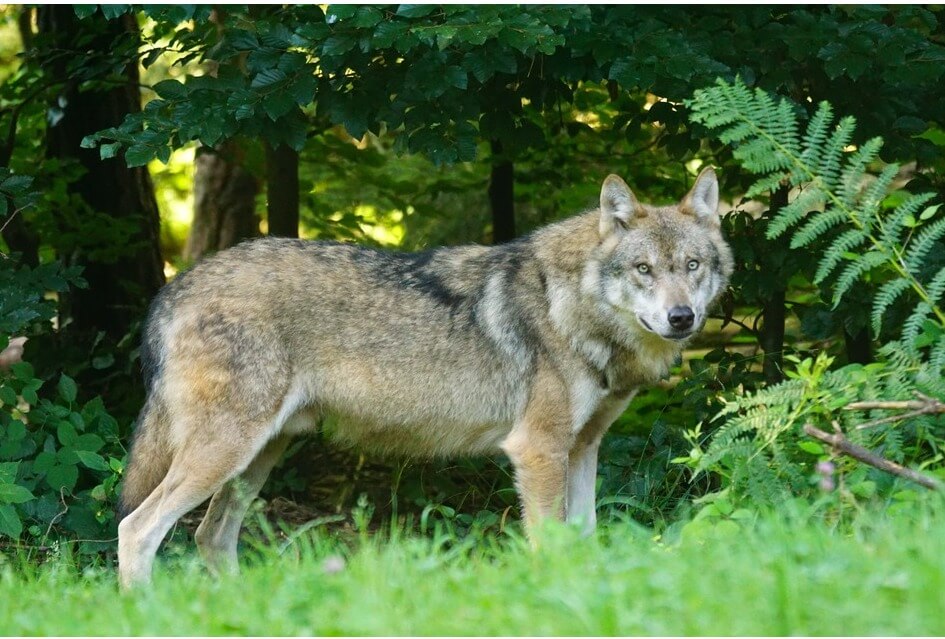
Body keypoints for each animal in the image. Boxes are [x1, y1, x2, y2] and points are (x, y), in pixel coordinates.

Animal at [117, 168, 733, 587]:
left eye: (692, 266)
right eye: (643, 270)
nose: (682, 318)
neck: (572, 306)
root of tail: (175, 286)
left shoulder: (582, 449)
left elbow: (585, 540)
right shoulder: (538, 451)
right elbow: (551, 546)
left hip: (257, 458)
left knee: (210, 537)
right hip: (226, 453)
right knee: (137, 529)